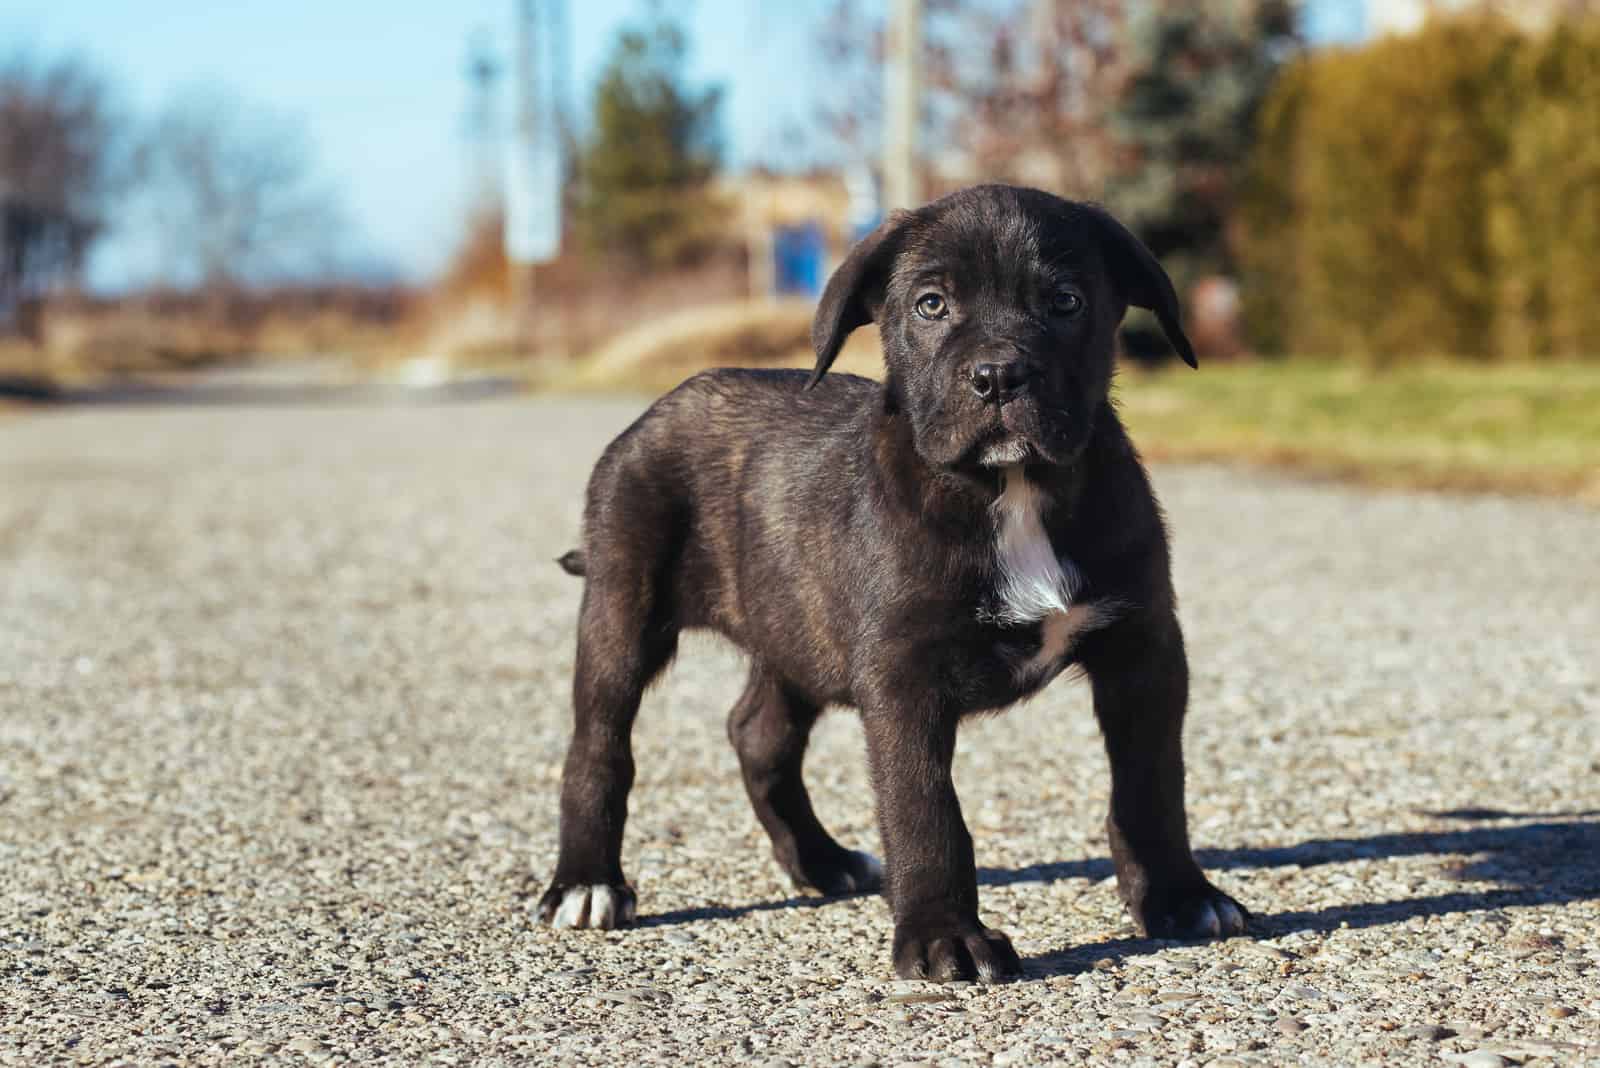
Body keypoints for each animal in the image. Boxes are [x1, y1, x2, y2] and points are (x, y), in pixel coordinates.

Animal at [537, 185, 1248, 984]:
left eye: (1066, 301)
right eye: (931, 305)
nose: (998, 376)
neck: (1012, 488)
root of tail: (656, 410)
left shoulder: (1142, 649)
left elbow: (1152, 784)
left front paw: (1181, 897)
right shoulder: (904, 673)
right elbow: (925, 809)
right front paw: (945, 937)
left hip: (793, 627)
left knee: (759, 734)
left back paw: (820, 861)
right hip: (622, 607)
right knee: (600, 745)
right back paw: (586, 884)